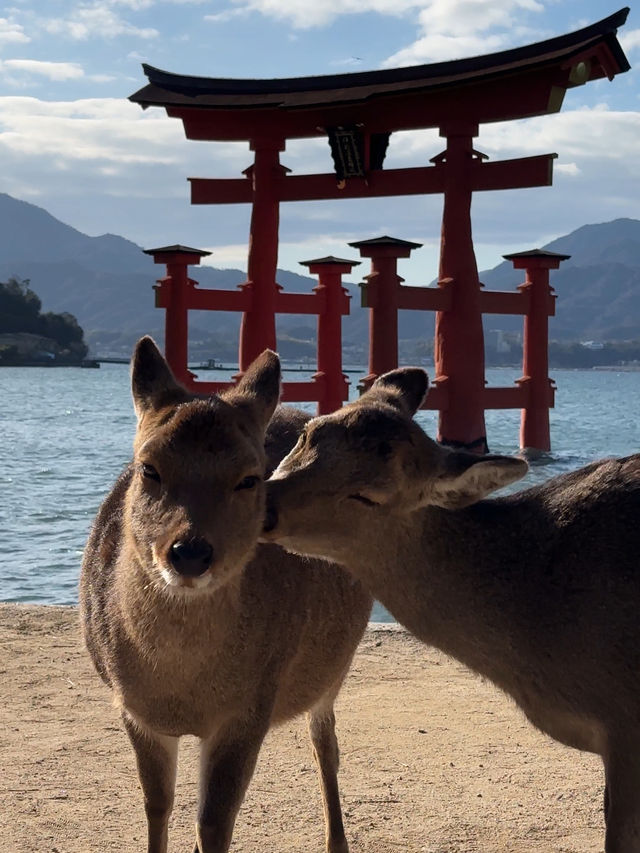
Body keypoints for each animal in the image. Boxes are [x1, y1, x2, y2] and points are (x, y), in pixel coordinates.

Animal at [80, 338, 372, 852]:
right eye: (148, 468)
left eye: (249, 478)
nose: (190, 553)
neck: (181, 688)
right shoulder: (134, 711)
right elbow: (158, 806)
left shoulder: (249, 709)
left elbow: (215, 821)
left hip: (334, 667)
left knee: (326, 743)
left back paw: (337, 840)